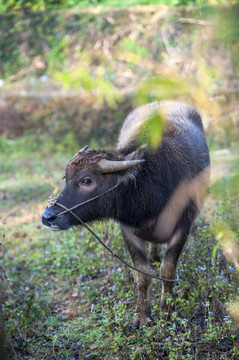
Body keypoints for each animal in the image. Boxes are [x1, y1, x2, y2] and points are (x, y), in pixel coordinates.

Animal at [42, 100, 210, 326]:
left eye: (87, 180)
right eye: (66, 178)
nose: (48, 217)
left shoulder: (183, 227)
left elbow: (167, 271)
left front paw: (167, 312)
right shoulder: (129, 231)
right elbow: (143, 275)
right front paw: (142, 315)